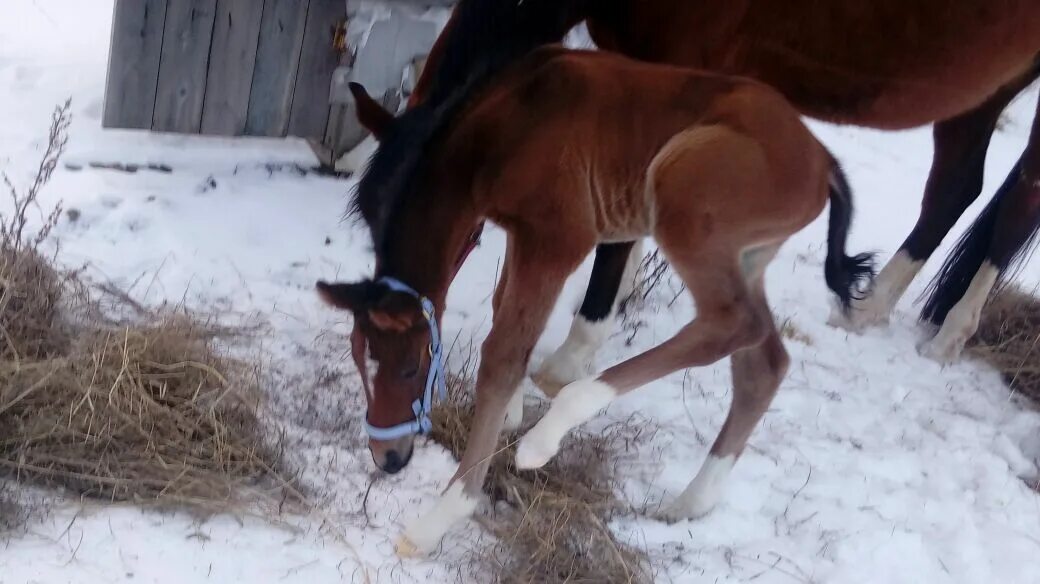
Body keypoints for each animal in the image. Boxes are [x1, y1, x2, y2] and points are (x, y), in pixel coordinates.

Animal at [320, 46, 873, 552]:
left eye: (411, 368)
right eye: (359, 361)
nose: (389, 458)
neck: (504, 127)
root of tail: (824, 160)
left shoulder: (559, 235)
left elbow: (502, 355)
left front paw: (442, 515)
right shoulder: (521, 233)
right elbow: (505, 316)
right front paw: (513, 412)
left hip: (686, 201)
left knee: (734, 322)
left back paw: (548, 434)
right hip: (748, 254)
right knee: (764, 360)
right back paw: (690, 502)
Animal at [399, 0, 1040, 382]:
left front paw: (571, 356)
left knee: (1020, 200)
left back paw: (950, 335)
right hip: (982, 90)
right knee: (956, 188)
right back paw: (868, 308)